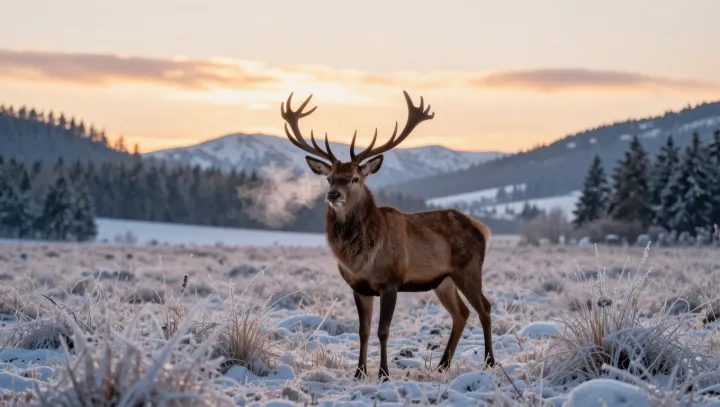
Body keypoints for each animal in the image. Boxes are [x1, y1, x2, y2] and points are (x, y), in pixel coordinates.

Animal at [280, 90, 495, 381]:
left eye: (356, 178)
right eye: (329, 178)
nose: (333, 194)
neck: (362, 257)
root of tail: (481, 228)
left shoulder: (391, 281)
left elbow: (383, 330)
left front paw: (383, 372)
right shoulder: (359, 286)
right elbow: (363, 331)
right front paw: (359, 372)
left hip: (469, 269)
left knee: (485, 307)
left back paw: (489, 362)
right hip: (443, 280)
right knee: (461, 313)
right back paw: (443, 365)